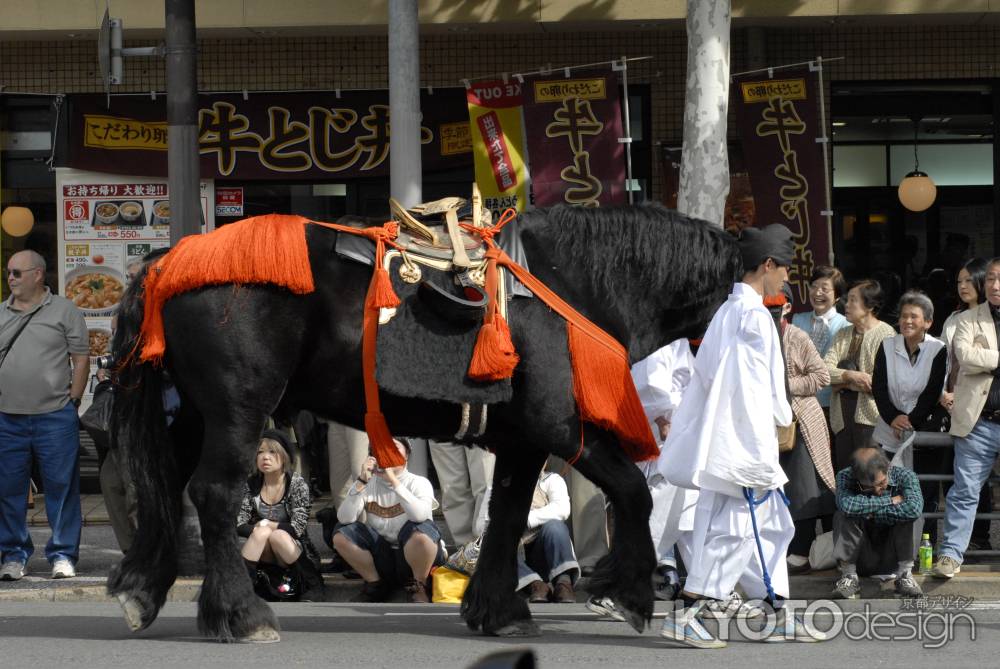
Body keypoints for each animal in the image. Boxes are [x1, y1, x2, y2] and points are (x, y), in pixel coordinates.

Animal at [107, 202, 744, 640]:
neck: (568, 283)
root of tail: (168, 260)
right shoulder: (561, 427)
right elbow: (635, 491)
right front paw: (629, 593)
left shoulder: (520, 441)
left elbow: (507, 515)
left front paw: (498, 609)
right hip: (238, 407)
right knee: (214, 493)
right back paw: (241, 614)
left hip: (196, 411)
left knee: (166, 483)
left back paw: (142, 590)